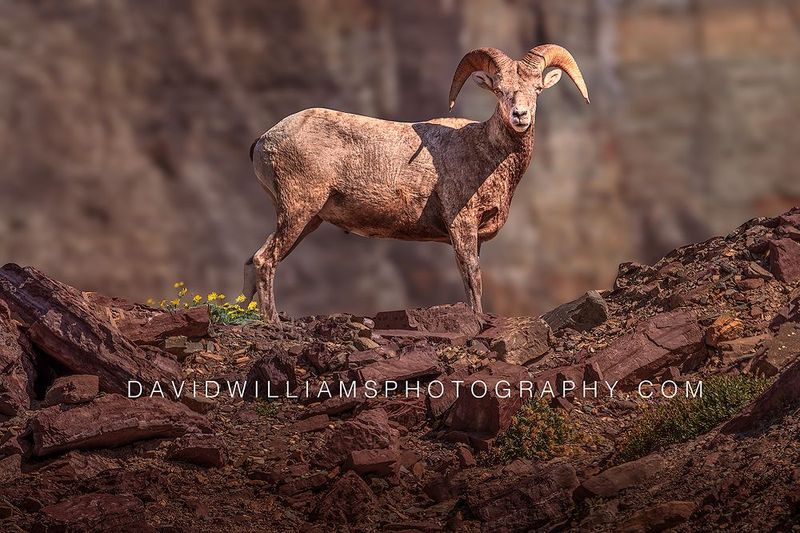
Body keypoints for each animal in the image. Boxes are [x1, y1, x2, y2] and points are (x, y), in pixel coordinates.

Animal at [245, 44, 589, 322]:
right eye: (499, 89)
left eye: (537, 89)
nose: (520, 115)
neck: (485, 153)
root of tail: (265, 139)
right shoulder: (462, 225)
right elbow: (473, 279)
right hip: (298, 211)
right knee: (264, 260)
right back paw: (273, 322)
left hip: (308, 221)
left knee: (253, 262)